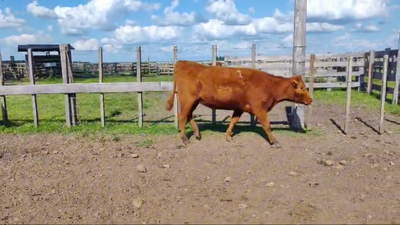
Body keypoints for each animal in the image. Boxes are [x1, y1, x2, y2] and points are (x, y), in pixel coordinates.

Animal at [166, 60, 312, 148]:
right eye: (302, 88)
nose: (310, 100)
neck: (269, 85)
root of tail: (182, 63)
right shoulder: (259, 109)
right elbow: (267, 125)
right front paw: (274, 141)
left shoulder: (239, 108)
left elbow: (233, 121)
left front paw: (228, 136)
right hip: (187, 100)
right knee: (182, 116)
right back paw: (185, 139)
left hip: (194, 101)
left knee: (189, 115)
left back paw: (197, 134)